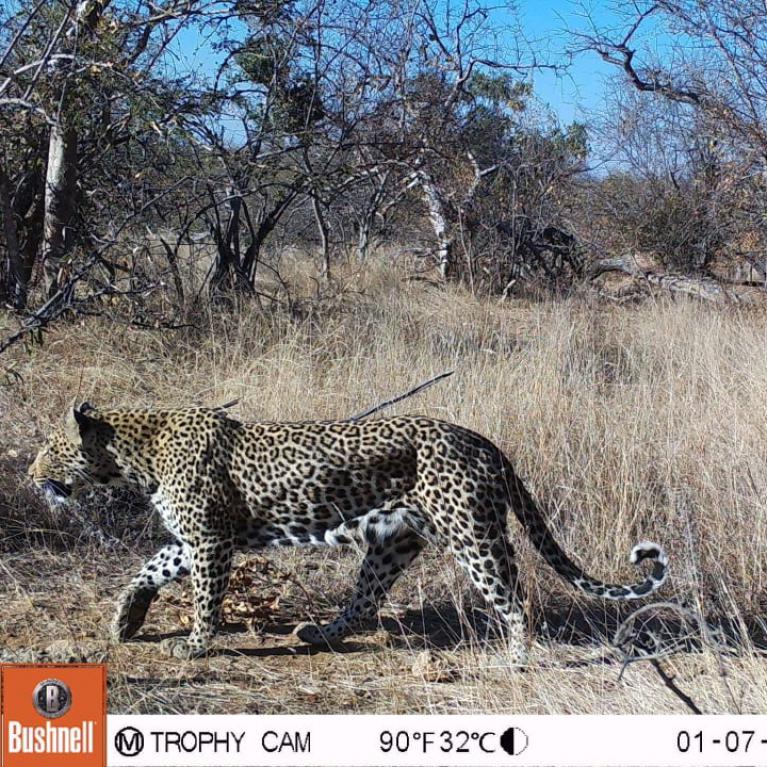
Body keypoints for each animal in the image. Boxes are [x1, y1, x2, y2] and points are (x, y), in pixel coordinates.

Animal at [28, 404, 664, 664]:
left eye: (50, 447)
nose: (31, 477)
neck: (135, 457)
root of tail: (483, 441)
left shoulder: (210, 541)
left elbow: (205, 598)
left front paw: (195, 645)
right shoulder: (194, 538)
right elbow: (151, 567)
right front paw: (125, 619)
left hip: (474, 533)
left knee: (514, 600)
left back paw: (515, 660)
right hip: (394, 541)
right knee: (364, 602)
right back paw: (319, 634)